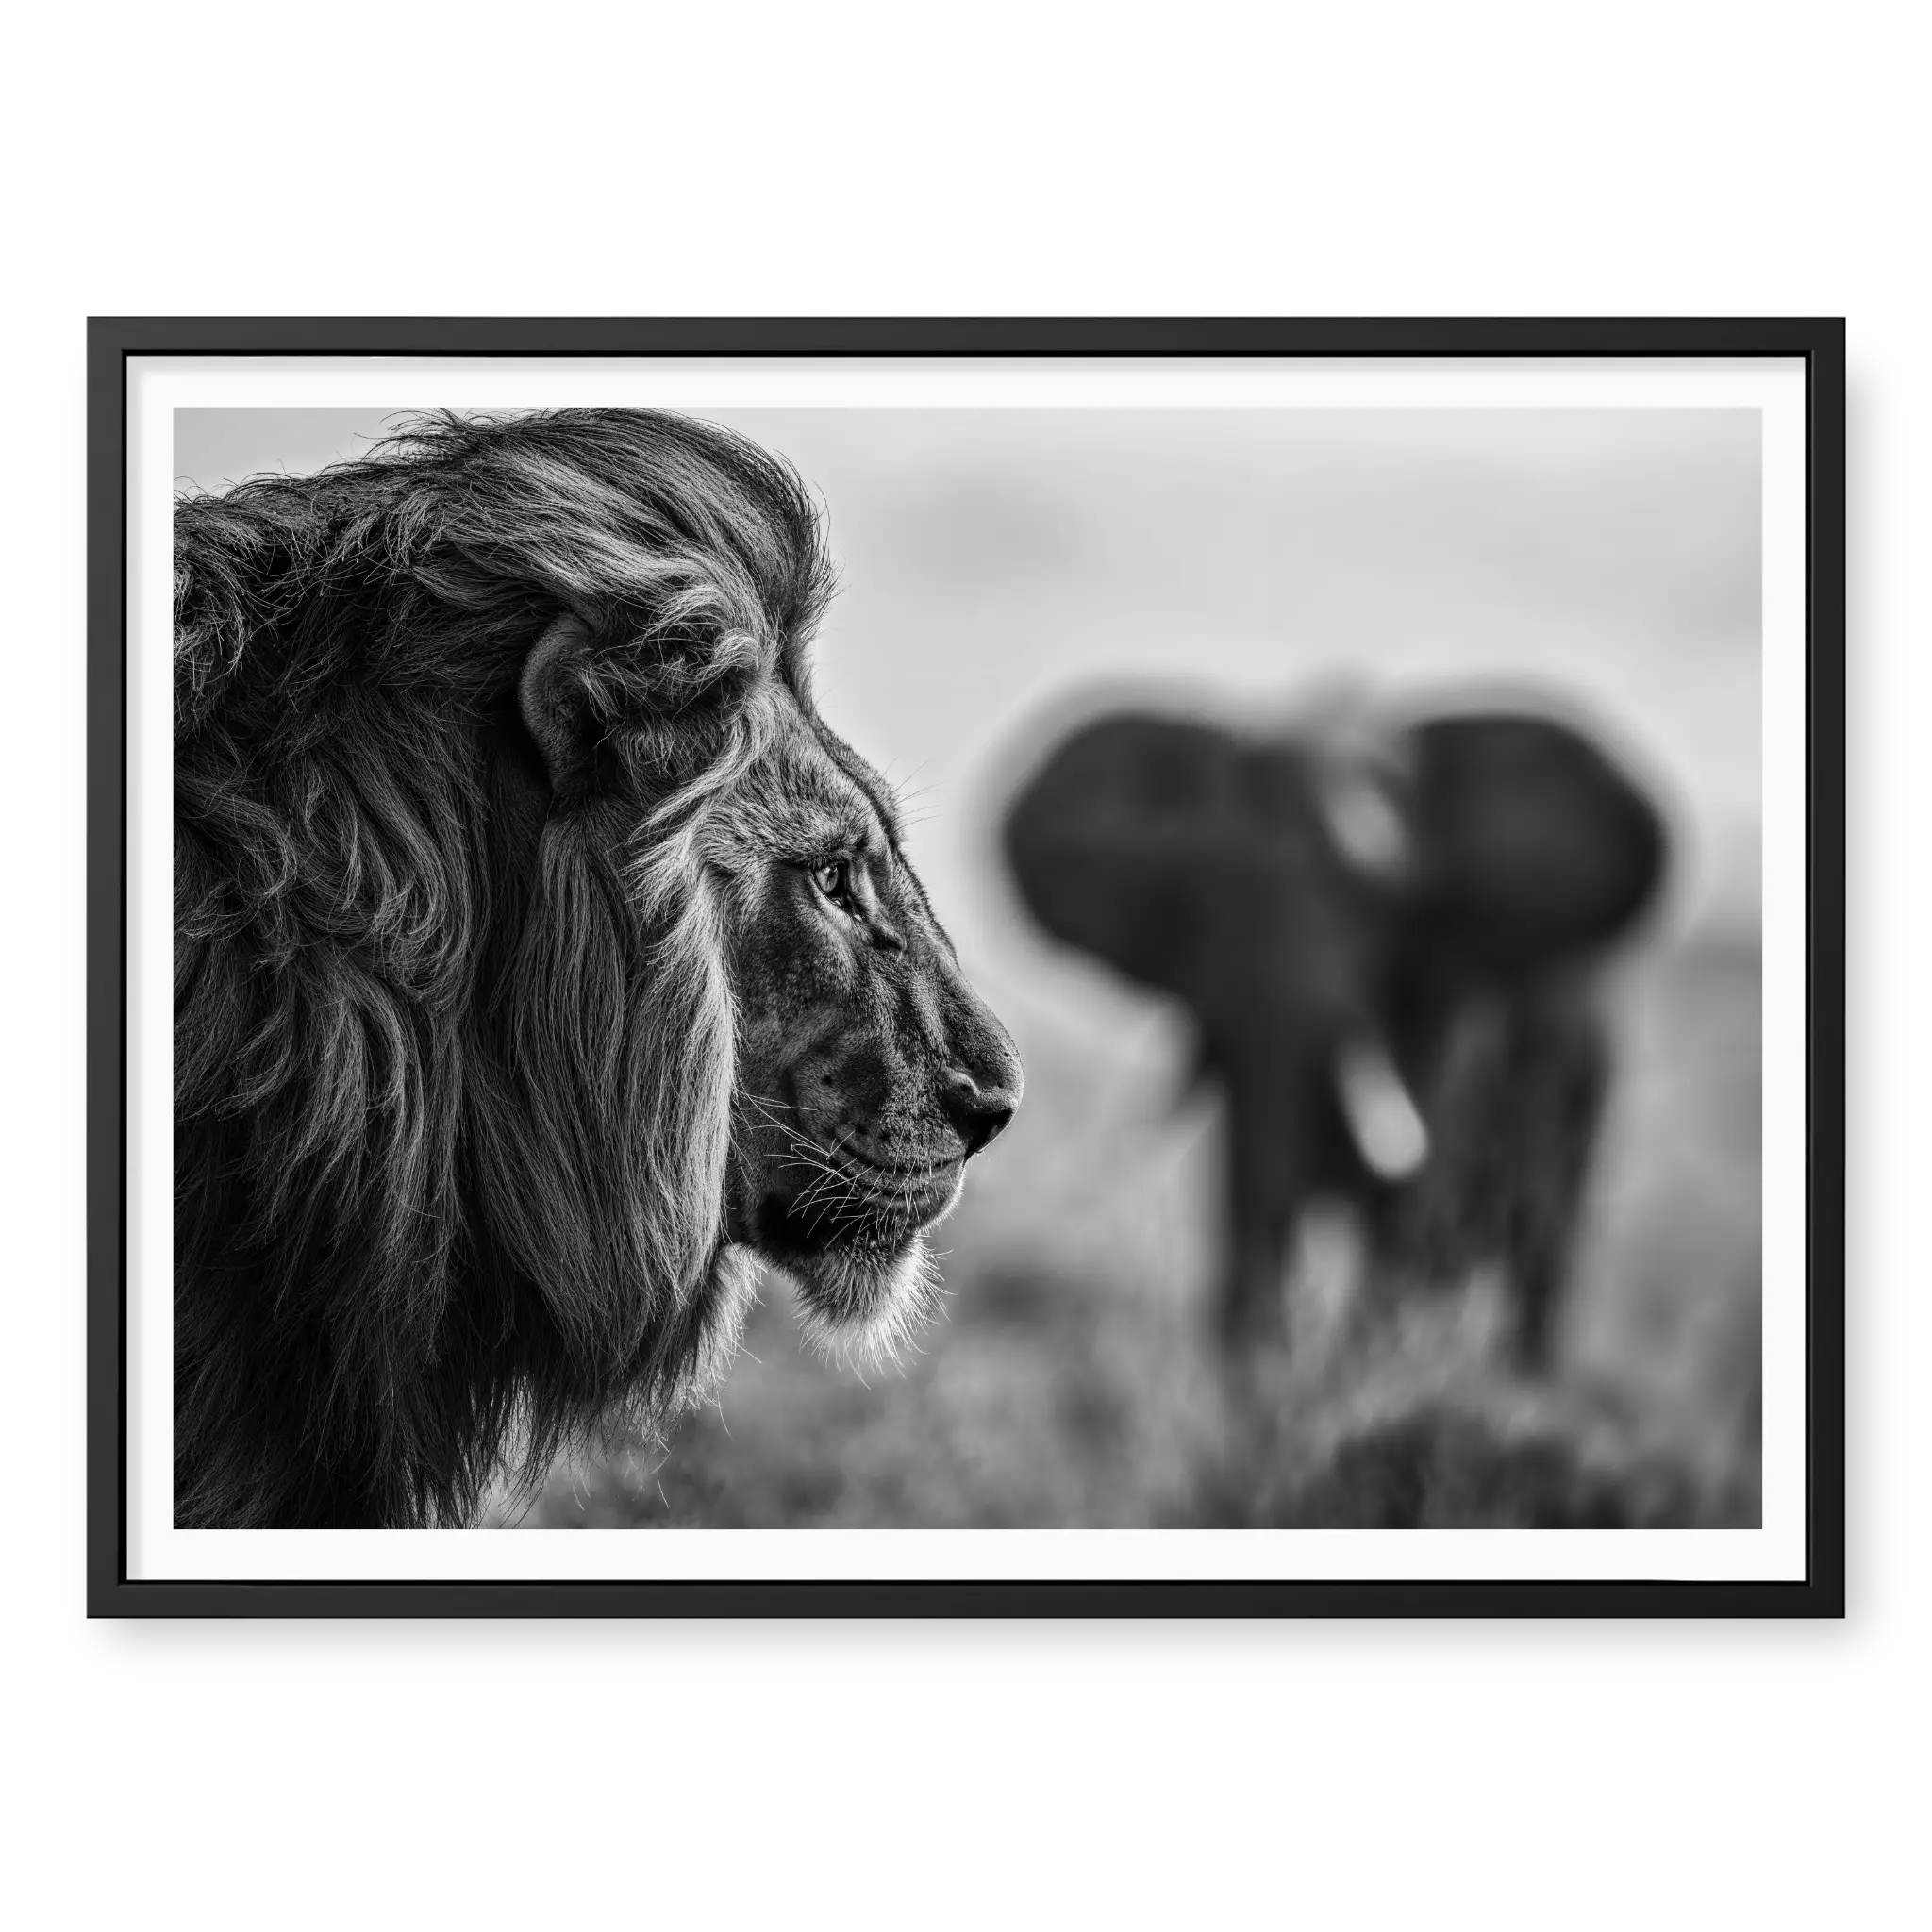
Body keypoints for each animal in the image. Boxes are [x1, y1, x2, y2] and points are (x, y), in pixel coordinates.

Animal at [1001, 693, 1670, 1371]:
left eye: (1386, 904)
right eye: (1198, 896)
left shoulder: (1446, 1024)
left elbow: (1408, 1213)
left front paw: (1353, 1372)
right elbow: (1247, 1183)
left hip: (1586, 1071)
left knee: (1540, 1237)